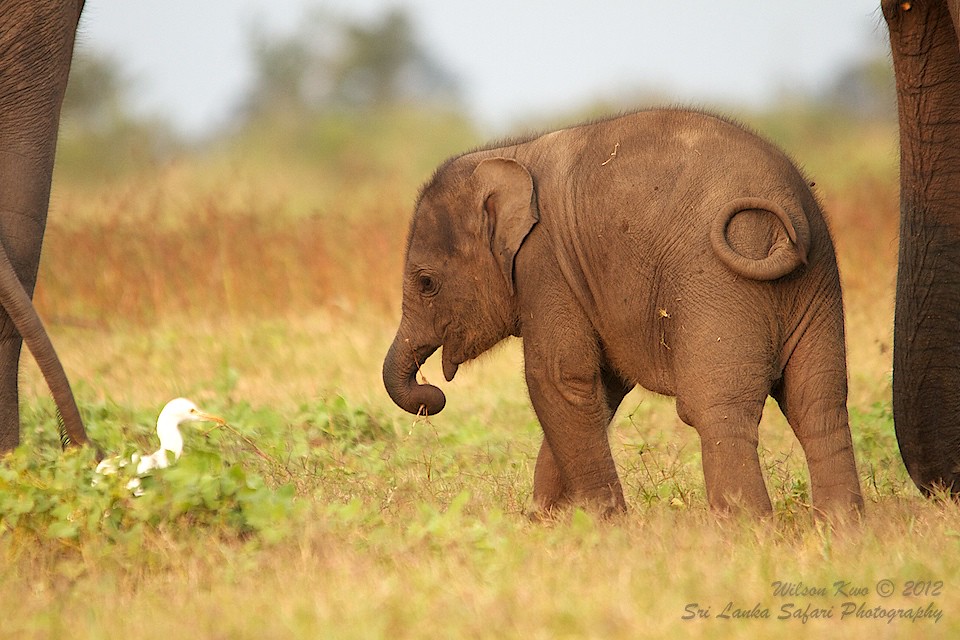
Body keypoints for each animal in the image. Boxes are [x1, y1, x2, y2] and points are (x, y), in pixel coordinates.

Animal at [383, 108, 865, 520]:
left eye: (426, 283)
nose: (433, 396)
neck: (510, 154)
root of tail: (787, 217)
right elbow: (602, 383)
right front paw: (547, 521)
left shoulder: (545, 263)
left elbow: (557, 377)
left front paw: (603, 523)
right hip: (818, 281)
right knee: (817, 403)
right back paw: (843, 531)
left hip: (718, 281)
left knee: (717, 407)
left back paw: (743, 532)